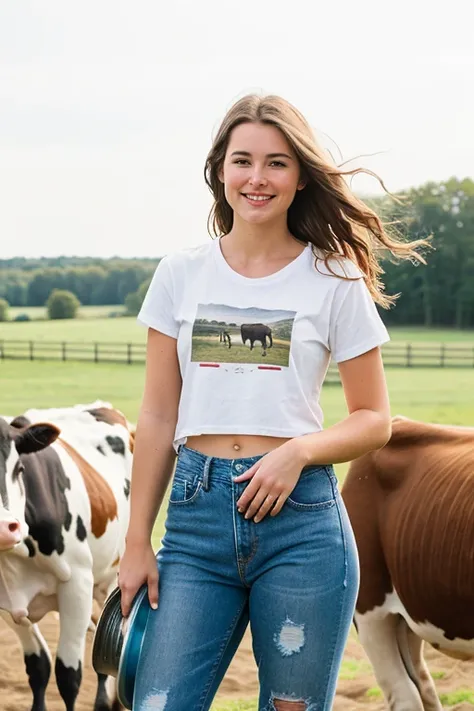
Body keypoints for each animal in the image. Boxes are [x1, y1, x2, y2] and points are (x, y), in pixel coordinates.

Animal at [0, 406, 133, 711]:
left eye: (19, 469)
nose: (3, 527)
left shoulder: (78, 585)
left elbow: (69, 675)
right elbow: (38, 666)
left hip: (112, 576)